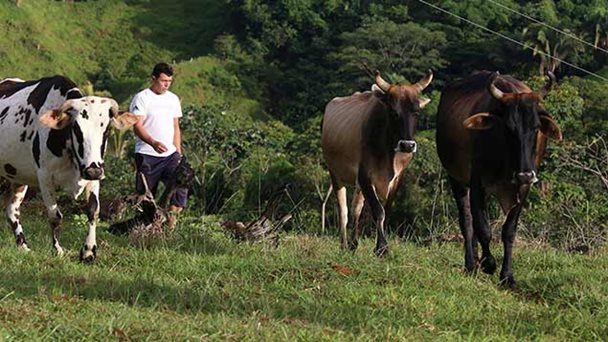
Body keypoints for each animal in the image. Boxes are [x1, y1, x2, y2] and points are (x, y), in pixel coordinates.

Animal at [0, 75, 137, 262]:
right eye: (77, 130)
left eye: (107, 130)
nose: (93, 171)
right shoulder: (44, 177)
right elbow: (55, 216)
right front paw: (57, 249)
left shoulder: (93, 175)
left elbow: (93, 210)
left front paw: (88, 251)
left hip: (17, 177)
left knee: (12, 210)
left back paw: (23, 246)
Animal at [320, 71, 434, 255]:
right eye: (393, 111)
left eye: (416, 111)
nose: (407, 145)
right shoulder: (365, 176)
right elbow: (378, 211)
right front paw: (381, 248)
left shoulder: (396, 179)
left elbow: (385, 212)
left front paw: (379, 245)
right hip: (335, 175)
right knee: (343, 211)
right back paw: (344, 245)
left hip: (357, 184)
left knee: (355, 209)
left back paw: (353, 244)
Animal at [436, 71, 560, 288]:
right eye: (508, 128)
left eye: (536, 127)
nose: (525, 174)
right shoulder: (477, 183)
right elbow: (483, 228)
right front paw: (489, 263)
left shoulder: (523, 189)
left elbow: (508, 231)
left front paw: (507, 275)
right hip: (456, 179)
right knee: (467, 221)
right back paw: (471, 264)